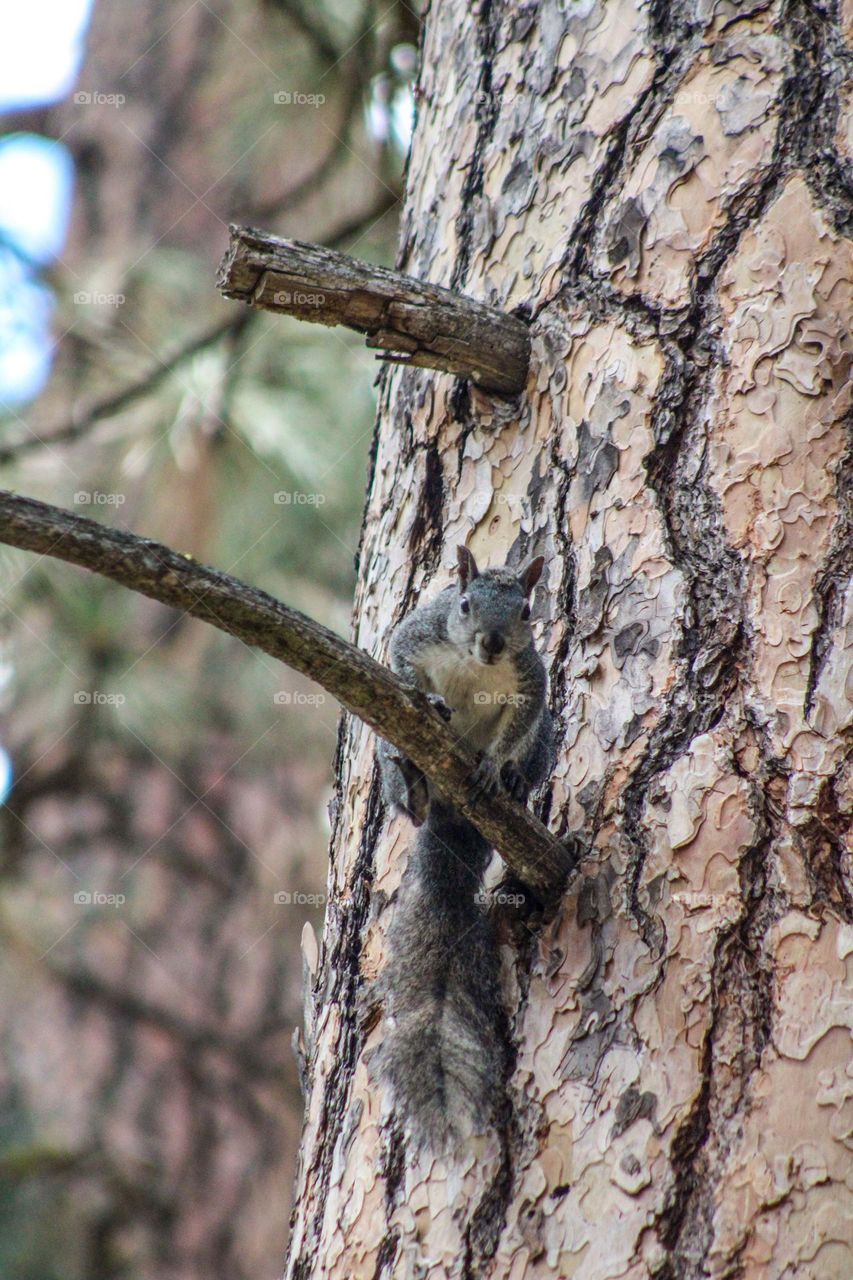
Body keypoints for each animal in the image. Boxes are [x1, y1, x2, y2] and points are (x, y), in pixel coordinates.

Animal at [375, 545, 555, 1150]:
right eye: (464, 604)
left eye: (525, 611)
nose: (493, 642)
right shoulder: (418, 633)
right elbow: (400, 657)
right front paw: (430, 697)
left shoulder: (531, 684)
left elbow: (516, 725)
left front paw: (496, 767)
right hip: (386, 755)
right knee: (402, 787)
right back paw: (413, 786)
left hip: (546, 741)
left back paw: (514, 784)